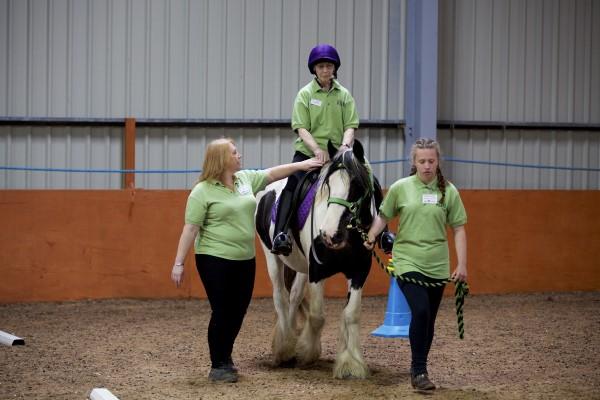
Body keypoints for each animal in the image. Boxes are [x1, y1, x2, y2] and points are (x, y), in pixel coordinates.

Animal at [255, 141, 382, 378]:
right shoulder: (316, 270)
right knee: (280, 297)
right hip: (272, 258)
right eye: (329, 184)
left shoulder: (360, 271)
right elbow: (317, 315)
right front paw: (307, 352)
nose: (329, 234)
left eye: (356, 185)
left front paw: (351, 364)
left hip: (301, 267)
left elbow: (351, 314)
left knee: (294, 296)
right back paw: (284, 349)